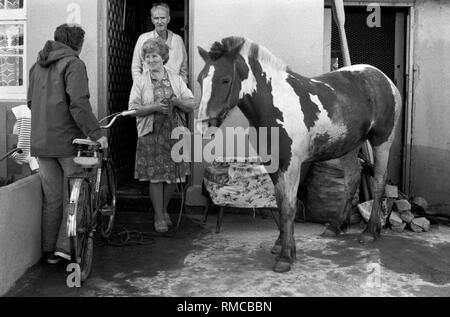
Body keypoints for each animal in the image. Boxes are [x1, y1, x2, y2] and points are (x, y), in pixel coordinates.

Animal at [197, 37, 400, 272]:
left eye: (225, 80)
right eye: (200, 79)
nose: (203, 124)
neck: (276, 105)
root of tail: (384, 79)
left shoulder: (291, 164)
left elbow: (289, 206)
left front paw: (285, 257)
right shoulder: (273, 163)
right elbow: (279, 202)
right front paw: (281, 244)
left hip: (381, 141)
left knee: (379, 182)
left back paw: (370, 232)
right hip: (349, 147)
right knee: (352, 180)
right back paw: (334, 227)